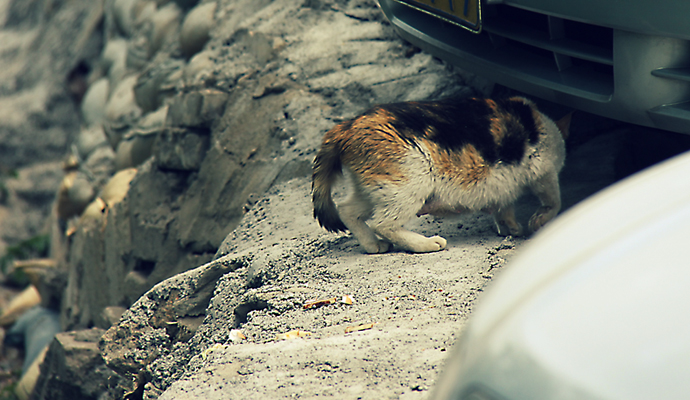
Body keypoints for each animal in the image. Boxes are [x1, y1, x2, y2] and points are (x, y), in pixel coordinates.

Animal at [312, 96, 568, 253]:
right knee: (382, 223)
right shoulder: (543, 171)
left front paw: (511, 228)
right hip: (410, 182)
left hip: (375, 188)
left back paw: (374, 246)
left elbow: (504, 206)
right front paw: (538, 220)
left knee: (347, 210)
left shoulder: (504, 187)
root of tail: (346, 127)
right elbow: (553, 200)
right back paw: (427, 244)